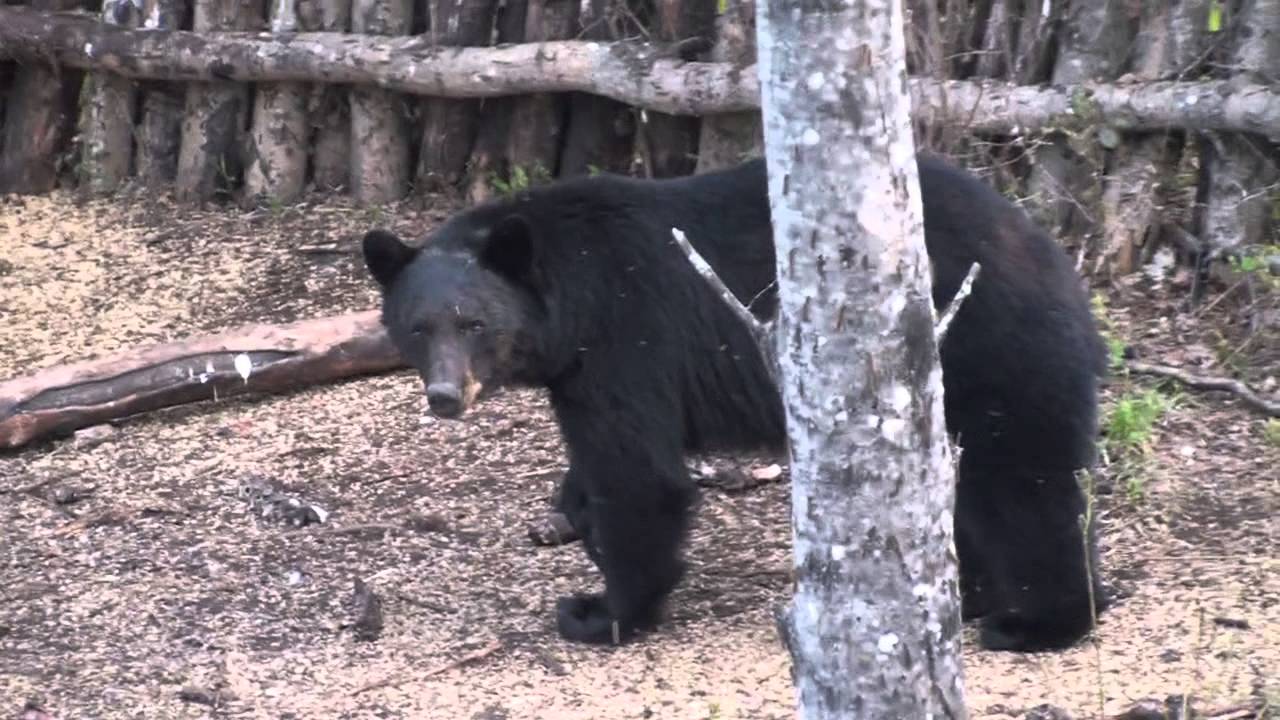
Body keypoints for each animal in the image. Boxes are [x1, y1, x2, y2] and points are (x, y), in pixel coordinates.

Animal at [360, 152, 1109, 652]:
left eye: (474, 324)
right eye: (418, 327)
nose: (445, 395)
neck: (566, 294)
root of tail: (1054, 256)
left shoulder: (626, 338)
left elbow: (639, 476)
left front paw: (600, 611)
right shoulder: (581, 367)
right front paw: (571, 516)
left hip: (995, 347)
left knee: (1021, 484)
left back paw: (1036, 621)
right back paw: (972, 593)